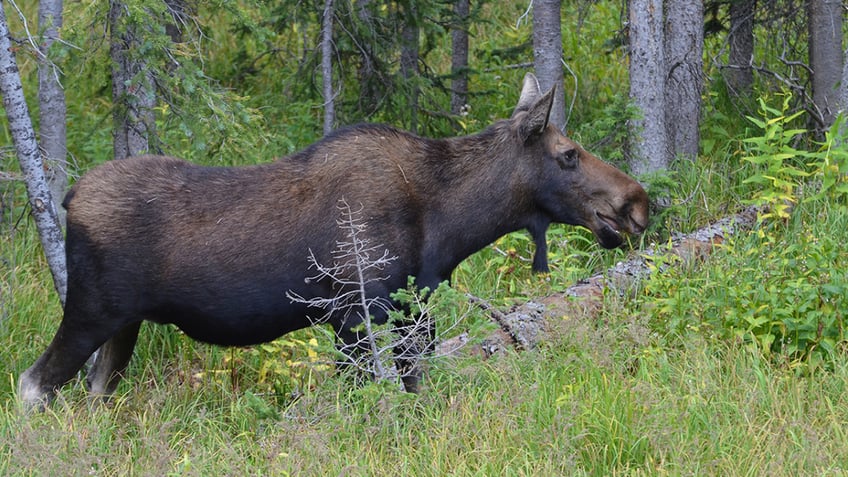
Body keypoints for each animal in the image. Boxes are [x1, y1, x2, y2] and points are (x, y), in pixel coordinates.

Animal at [19, 74, 648, 406]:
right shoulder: (352, 310)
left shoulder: (410, 309)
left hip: (124, 324)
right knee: (32, 385)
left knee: (94, 393)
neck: (450, 224)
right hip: (92, 310)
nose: (638, 204)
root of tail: (70, 196)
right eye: (568, 154)